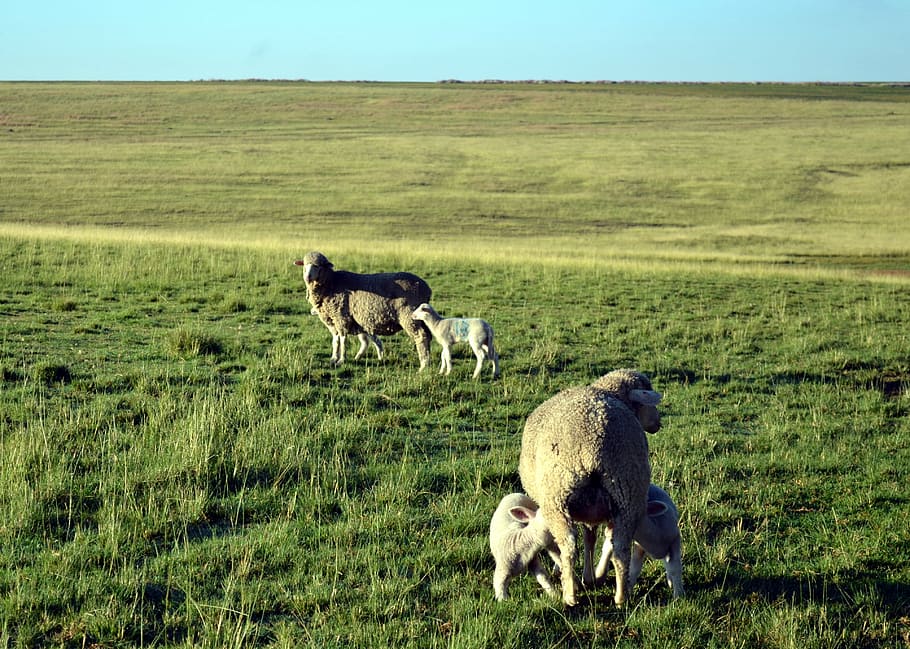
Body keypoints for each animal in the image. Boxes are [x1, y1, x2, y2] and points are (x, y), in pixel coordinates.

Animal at [295, 251, 433, 370]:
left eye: (318, 266)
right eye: (305, 265)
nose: (307, 277)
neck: (332, 282)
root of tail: (426, 287)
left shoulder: (341, 317)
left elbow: (343, 340)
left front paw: (341, 360)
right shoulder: (332, 320)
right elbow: (335, 340)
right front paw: (333, 358)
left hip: (408, 315)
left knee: (421, 336)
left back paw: (424, 365)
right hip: (419, 316)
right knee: (428, 335)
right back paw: (428, 361)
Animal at [518, 368, 663, 607]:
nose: (659, 423)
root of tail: (592, 447)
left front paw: (581, 578)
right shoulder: (594, 509)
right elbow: (591, 537)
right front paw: (590, 577)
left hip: (556, 498)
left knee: (568, 545)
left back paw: (570, 594)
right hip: (628, 493)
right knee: (621, 548)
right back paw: (621, 596)